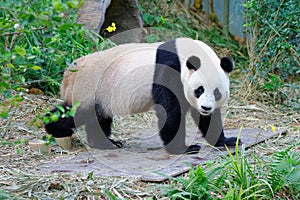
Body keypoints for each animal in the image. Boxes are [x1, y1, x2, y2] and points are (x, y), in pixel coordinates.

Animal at [44, 37, 240, 155]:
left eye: (216, 92)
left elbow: (208, 119)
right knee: (77, 113)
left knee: (99, 118)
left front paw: (226, 140)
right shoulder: (170, 69)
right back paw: (53, 127)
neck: (185, 53)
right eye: (199, 89)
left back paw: (107, 143)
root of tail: (69, 75)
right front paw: (184, 148)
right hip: (91, 88)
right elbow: (170, 111)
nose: (206, 107)